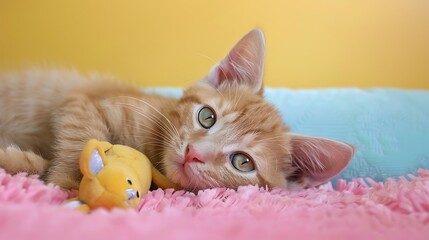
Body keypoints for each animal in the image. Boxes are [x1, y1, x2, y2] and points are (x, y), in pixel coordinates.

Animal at [0, 29, 352, 191]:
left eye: (243, 162)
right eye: (207, 116)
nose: (194, 152)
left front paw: (27, 164)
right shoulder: (82, 100)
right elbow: (82, 142)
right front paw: (67, 186)